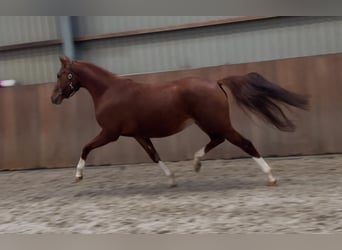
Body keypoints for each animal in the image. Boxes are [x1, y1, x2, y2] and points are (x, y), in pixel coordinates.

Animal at [51, 55, 310, 187]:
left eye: (60, 75)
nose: (54, 98)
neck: (109, 91)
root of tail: (216, 82)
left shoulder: (110, 133)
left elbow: (85, 147)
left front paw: (78, 175)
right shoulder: (138, 134)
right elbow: (154, 155)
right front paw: (172, 179)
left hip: (217, 122)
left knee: (244, 143)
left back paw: (271, 176)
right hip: (209, 123)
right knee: (217, 140)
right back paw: (196, 163)